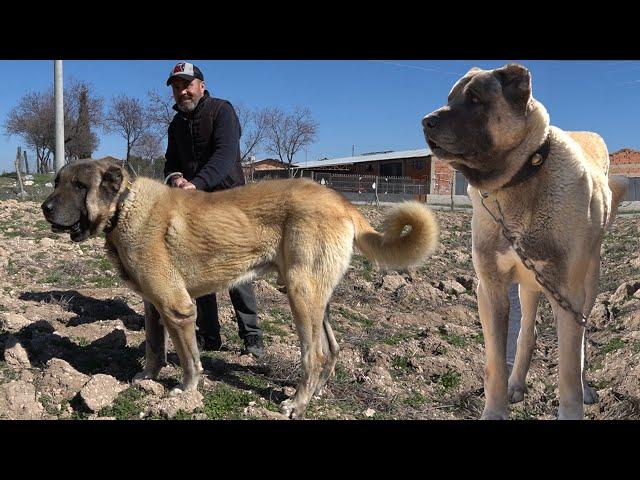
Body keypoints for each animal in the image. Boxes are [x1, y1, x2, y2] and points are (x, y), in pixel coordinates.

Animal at [41, 159, 440, 418]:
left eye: (79, 186)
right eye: (57, 181)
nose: (44, 207)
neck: (124, 207)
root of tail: (340, 201)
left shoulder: (177, 308)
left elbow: (188, 358)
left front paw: (185, 392)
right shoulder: (154, 305)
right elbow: (154, 346)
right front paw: (146, 379)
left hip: (300, 294)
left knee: (314, 355)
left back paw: (297, 404)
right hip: (315, 297)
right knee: (332, 349)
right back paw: (316, 393)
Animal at [422, 64, 628, 420]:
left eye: (475, 98)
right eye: (449, 98)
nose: (425, 121)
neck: (519, 181)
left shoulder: (567, 291)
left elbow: (569, 370)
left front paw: (573, 406)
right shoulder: (490, 288)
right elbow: (495, 363)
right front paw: (495, 409)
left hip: (588, 280)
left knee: (581, 340)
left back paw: (586, 386)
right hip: (528, 286)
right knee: (526, 334)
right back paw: (517, 382)